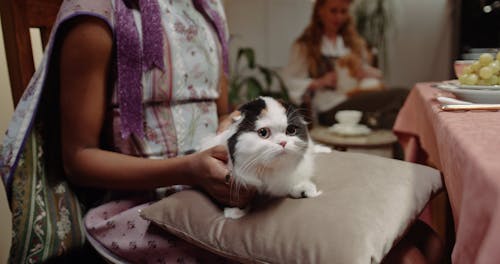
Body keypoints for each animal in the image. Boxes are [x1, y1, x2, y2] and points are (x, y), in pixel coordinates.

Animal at [201, 96, 330, 219]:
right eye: (263, 132)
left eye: (291, 130)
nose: (283, 143)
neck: (267, 170)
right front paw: (234, 212)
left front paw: (305, 190)